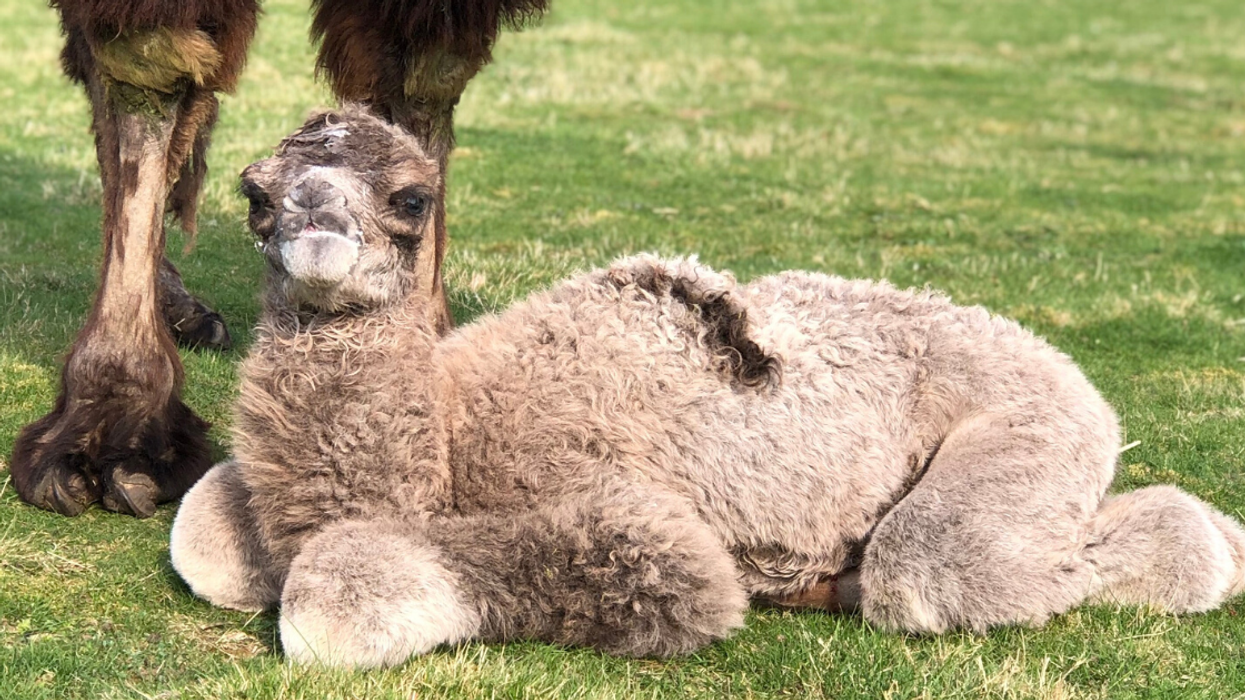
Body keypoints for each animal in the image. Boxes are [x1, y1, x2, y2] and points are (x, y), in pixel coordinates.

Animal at [170, 107, 1245, 668]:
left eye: (411, 198)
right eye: (254, 194)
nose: (314, 226)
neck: (445, 438)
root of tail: (1060, 363)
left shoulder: (632, 526)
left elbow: (330, 598)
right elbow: (203, 532)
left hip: (1031, 409)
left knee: (940, 566)